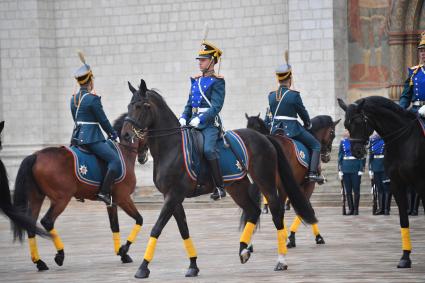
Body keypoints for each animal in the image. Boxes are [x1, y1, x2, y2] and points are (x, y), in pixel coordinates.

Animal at [12, 116, 147, 272]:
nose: (143, 157)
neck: (124, 152)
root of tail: (36, 155)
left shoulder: (111, 202)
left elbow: (115, 226)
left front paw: (122, 254)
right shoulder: (124, 198)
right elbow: (139, 219)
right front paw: (124, 250)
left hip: (36, 198)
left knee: (31, 225)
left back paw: (40, 262)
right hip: (61, 199)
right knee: (47, 221)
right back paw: (60, 255)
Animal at [121, 80, 316, 280]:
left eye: (140, 106)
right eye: (129, 106)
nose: (126, 135)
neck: (171, 147)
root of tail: (265, 137)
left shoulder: (174, 195)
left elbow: (157, 228)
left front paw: (143, 267)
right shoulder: (172, 197)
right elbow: (183, 229)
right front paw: (193, 265)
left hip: (265, 180)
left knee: (276, 211)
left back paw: (281, 260)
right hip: (236, 186)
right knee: (252, 211)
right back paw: (243, 250)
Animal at [245, 114, 338, 247]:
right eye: (332, 134)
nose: (327, 157)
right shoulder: (308, 185)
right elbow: (306, 208)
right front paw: (298, 237)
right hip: (282, 186)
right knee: (279, 211)